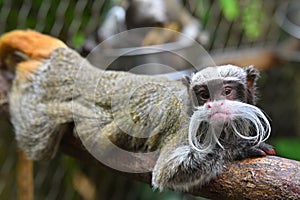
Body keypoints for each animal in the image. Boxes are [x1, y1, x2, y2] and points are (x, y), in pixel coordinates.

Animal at [0, 30, 274, 192]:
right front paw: (238, 149)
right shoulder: (187, 128)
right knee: (38, 144)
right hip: (50, 83)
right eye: (204, 94)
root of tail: (88, 73)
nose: (214, 104)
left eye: (226, 91)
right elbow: (167, 172)